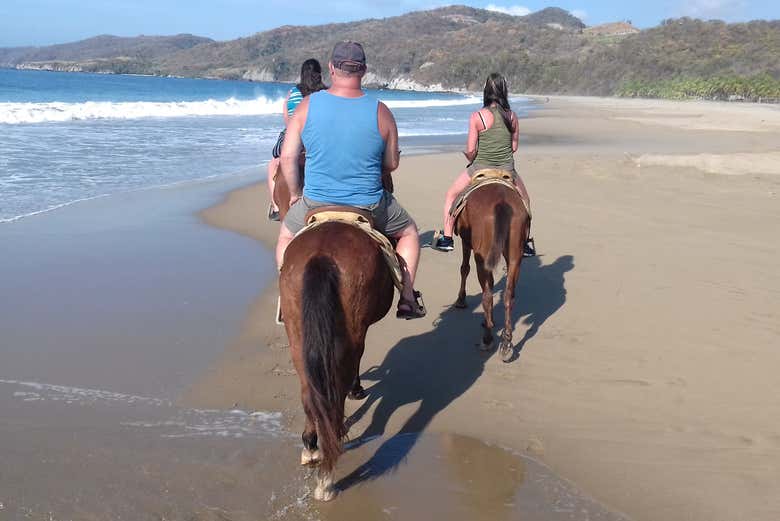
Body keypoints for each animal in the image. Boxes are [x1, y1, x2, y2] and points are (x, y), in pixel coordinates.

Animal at [278, 219, 394, 500]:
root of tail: (322, 255)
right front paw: (357, 389)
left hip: (296, 331)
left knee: (309, 392)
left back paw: (311, 447)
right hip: (352, 327)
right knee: (338, 384)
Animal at [450, 183, 532, 362]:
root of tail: (502, 203)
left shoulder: (466, 242)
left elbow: (464, 268)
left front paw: (461, 300)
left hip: (482, 255)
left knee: (486, 296)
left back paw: (487, 339)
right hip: (515, 254)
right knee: (509, 295)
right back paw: (506, 343)